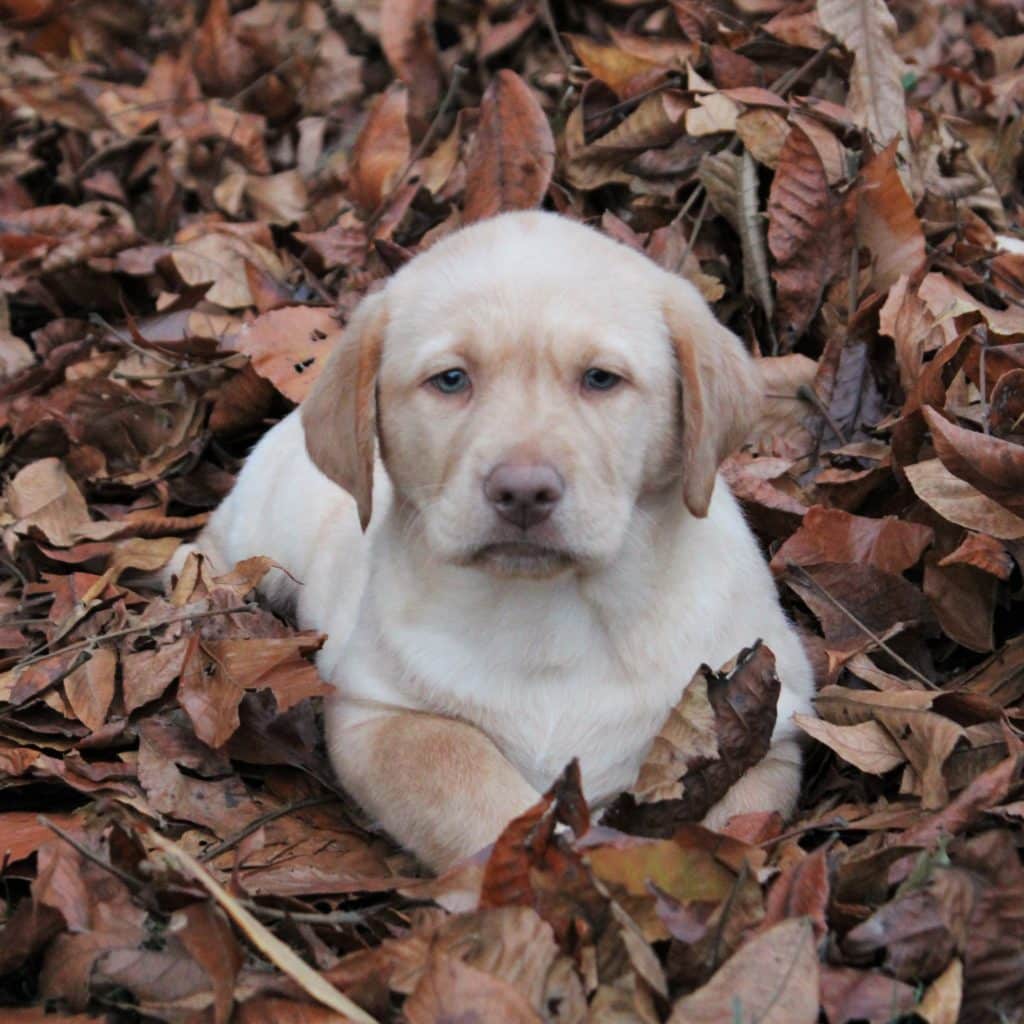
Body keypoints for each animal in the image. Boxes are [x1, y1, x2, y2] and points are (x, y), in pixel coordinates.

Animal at [188, 211, 819, 868]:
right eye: (450, 380)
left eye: (600, 379)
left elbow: (731, 828)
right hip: (269, 521)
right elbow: (469, 787)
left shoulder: (776, 727)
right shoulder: (378, 712)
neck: (552, 612)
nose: (522, 491)